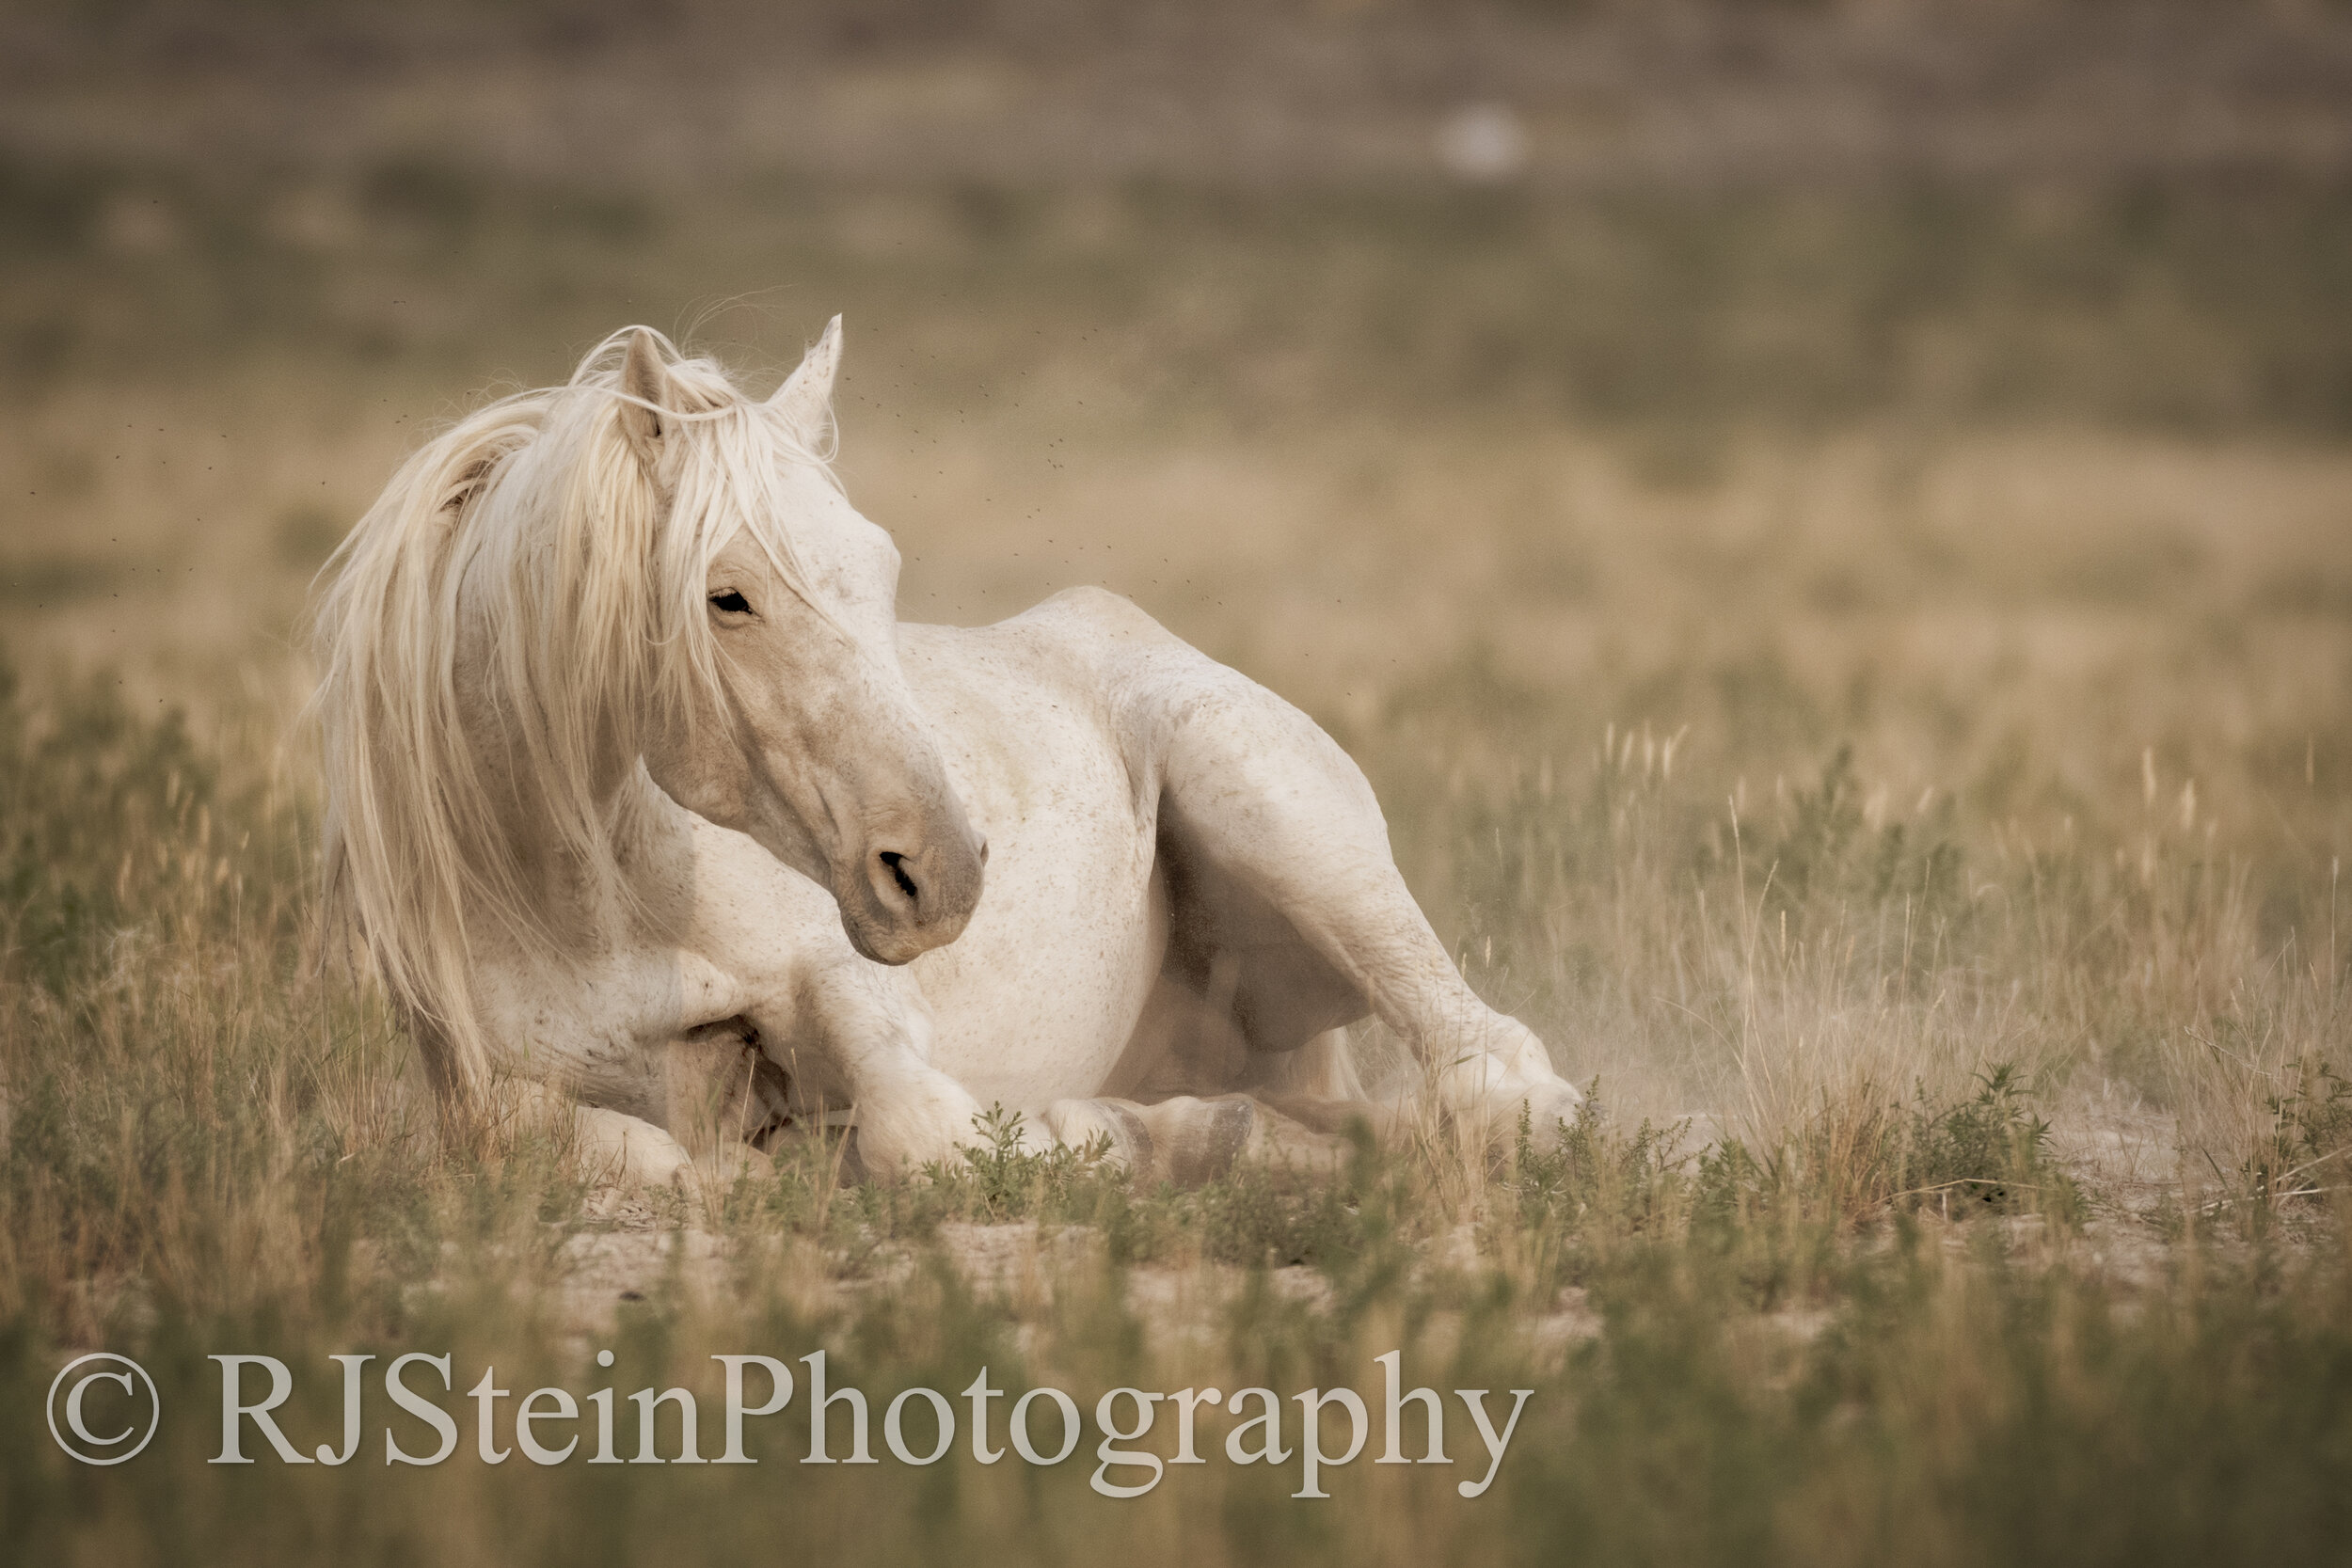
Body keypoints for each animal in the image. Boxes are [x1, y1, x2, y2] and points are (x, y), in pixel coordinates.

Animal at [312, 319, 1590, 1184]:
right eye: (726, 597)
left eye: (883, 571)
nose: (943, 871)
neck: (590, 896)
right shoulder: (481, 1094)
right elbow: (624, 1151)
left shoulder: (843, 986)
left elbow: (922, 1128)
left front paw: (1116, 1134)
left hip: (1280, 819)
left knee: (1495, 1070)